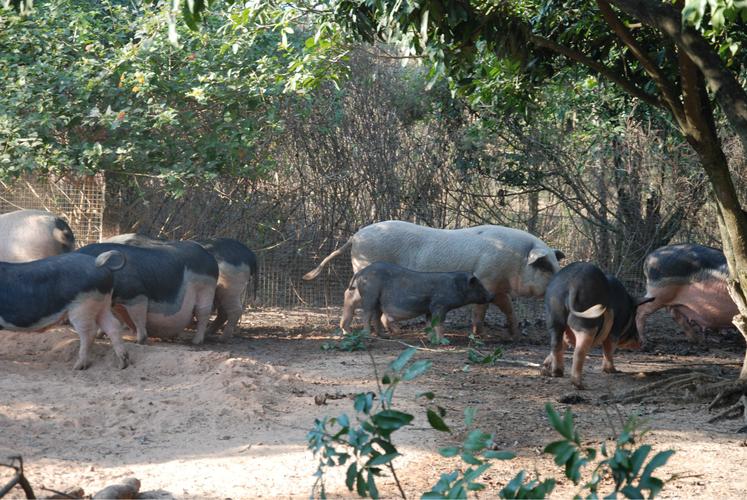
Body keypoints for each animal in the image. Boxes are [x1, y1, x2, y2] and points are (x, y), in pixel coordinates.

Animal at [0, 252, 128, 370]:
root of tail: (103, 268)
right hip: (102, 304)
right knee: (113, 326)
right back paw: (122, 364)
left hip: (82, 307)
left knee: (89, 332)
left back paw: (77, 367)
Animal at [78, 241, 219, 344]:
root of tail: (210, 257)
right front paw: (98, 337)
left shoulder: (136, 294)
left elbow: (138, 317)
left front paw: (139, 341)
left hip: (207, 288)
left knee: (203, 313)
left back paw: (196, 342)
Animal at [340, 262, 496, 340]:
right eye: (479, 285)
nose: (492, 296)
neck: (456, 286)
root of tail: (361, 272)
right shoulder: (440, 305)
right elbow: (439, 323)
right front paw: (443, 341)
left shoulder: (429, 309)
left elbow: (429, 323)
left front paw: (430, 339)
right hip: (370, 294)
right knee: (366, 314)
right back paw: (367, 335)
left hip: (372, 298)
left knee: (372, 314)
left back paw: (383, 335)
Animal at [540, 262, 652, 390]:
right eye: (634, 317)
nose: (642, 342)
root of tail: (572, 285)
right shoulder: (615, 329)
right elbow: (609, 350)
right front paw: (614, 371)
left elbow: (563, 344)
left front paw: (544, 368)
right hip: (587, 325)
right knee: (579, 351)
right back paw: (579, 385)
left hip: (554, 316)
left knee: (555, 344)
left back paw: (555, 373)